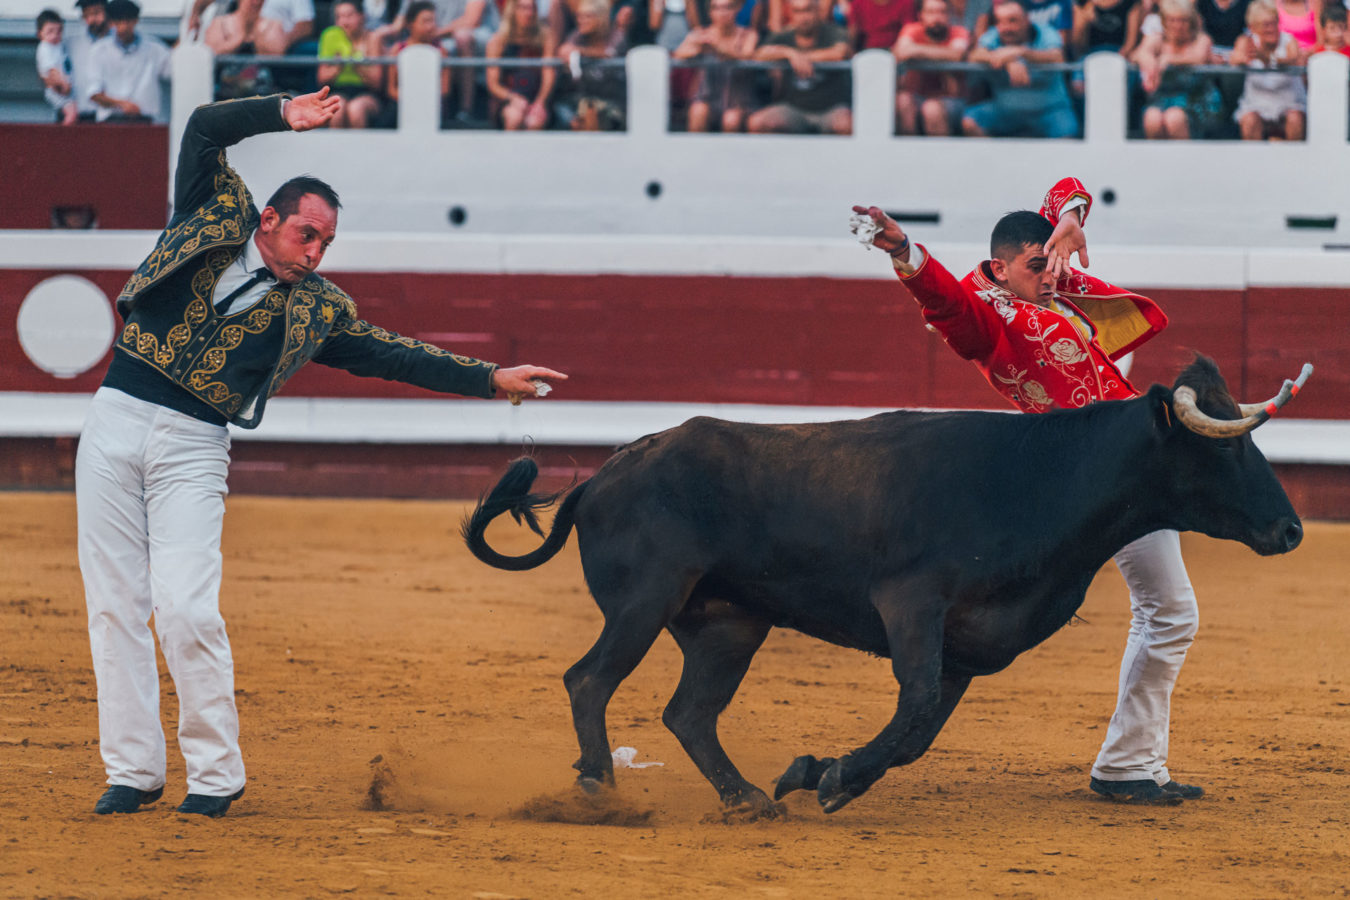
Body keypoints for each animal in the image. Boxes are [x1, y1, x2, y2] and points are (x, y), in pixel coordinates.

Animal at [467, 358, 1306, 814]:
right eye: (1224, 450)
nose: (1292, 530)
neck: (1040, 476)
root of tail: (606, 472)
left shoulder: (968, 644)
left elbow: (918, 731)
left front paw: (819, 775)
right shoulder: (911, 606)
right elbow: (914, 706)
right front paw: (833, 775)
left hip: (728, 624)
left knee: (689, 713)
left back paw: (747, 800)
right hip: (645, 603)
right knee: (589, 680)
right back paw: (600, 786)